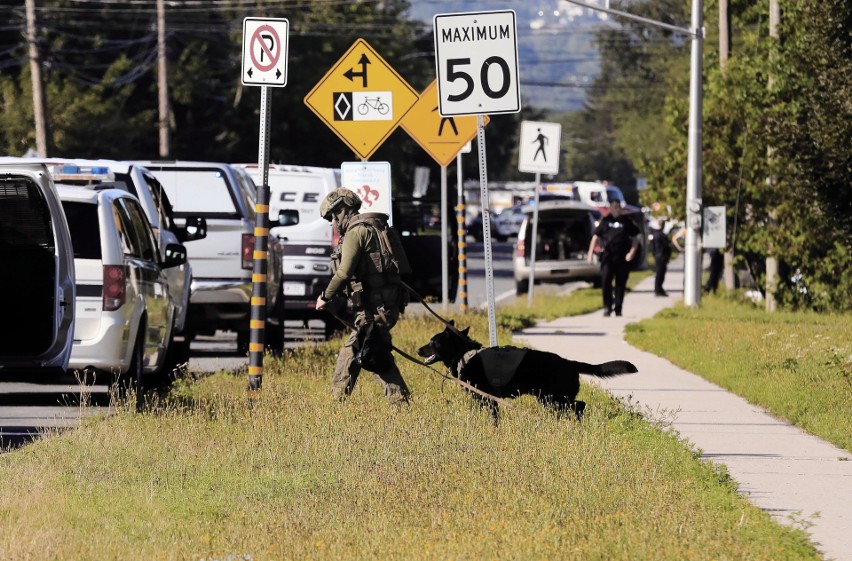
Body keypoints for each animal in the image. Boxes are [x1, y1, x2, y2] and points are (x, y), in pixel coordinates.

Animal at [416, 324, 636, 420]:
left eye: (433, 342)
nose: (417, 350)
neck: (464, 354)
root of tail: (569, 363)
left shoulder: (486, 398)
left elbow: (493, 418)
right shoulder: (489, 400)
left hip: (552, 398)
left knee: (579, 406)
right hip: (551, 399)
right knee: (577, 407)